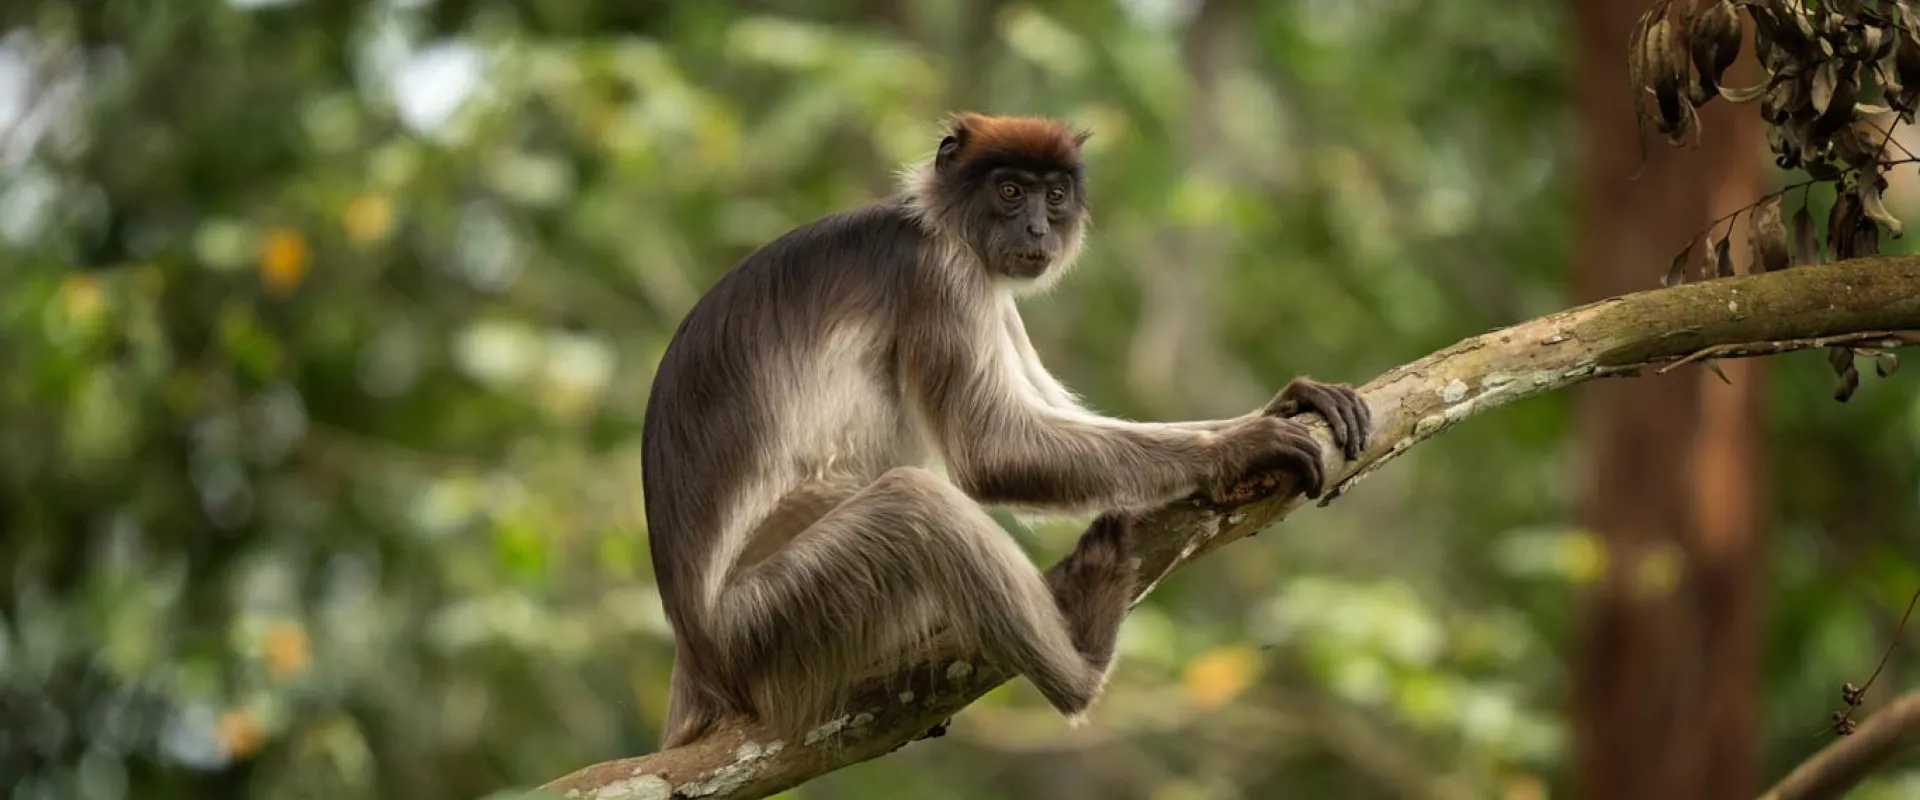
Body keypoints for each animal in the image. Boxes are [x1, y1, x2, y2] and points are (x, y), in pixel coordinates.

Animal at [640, 112, 1372, 749]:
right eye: (1010, 190)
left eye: (1055, 195)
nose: (1037, 227)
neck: (937, 226)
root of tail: (699, 659)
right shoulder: (942, 275)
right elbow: (992, 454)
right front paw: (1240, 447)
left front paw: (1284, 403)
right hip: (767, 622)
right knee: (917, 504)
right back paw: (1081, 666)